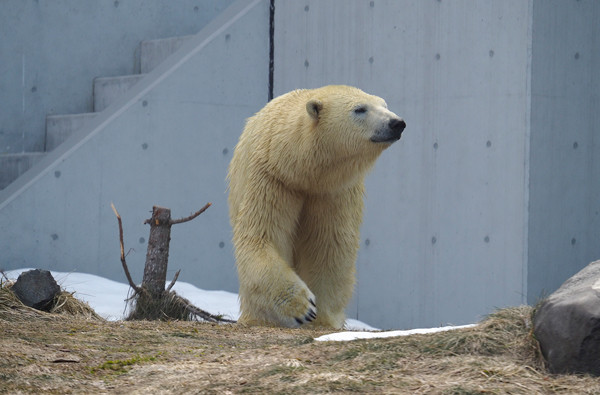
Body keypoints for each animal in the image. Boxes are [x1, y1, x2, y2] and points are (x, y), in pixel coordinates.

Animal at [227, 85, 406, 330]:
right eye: (360, 109)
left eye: (385, 105)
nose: (397, 123)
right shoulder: (272, 179)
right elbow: (262, 236)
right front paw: (302, 308)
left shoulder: (333, 192)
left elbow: (328, 246)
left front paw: (323, 318)